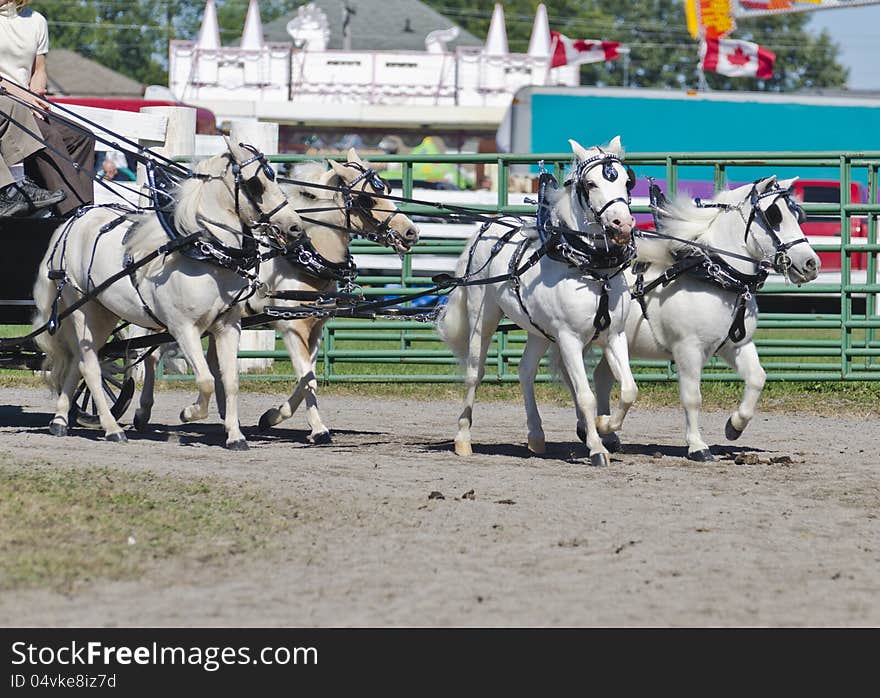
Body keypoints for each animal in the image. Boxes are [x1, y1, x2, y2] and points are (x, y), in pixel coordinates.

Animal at [32, 143, 302, 446]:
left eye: (273, 176)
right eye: (256, 184)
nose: (295, 227)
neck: (205, 252)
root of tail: (73, 222)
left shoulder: (228, 325)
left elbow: (230, 381)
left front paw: (235, 436)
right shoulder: (183, 328)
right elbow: (206, 380)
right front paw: (189, 413)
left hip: (106, 313)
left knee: (77, 363)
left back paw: (59, 420)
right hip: (83, 311)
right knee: (90, 367)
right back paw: (112, 428)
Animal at [440, 136, 640, 464]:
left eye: (627, 180)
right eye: (590, 184)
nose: (622, 224)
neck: (593, 268)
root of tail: (490, 225)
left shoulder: (614, 335)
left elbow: (628, 390)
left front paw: (604, 426)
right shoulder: (569, 338)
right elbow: (585, 395)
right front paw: (597, 447)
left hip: (539, 330)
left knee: (526, 371)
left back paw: (536, 435)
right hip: (483, 317)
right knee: (474, 373)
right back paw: (463, 438)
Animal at [596, 174, 820, 460]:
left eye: (797, 213)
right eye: (774, 215)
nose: (812, 264)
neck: (716, 278)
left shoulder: (736, 344)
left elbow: (757, 378)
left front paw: (734, 426)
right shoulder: (688, 349)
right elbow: (692, 397)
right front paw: (697, 446)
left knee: (601, 379)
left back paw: (604, 431)